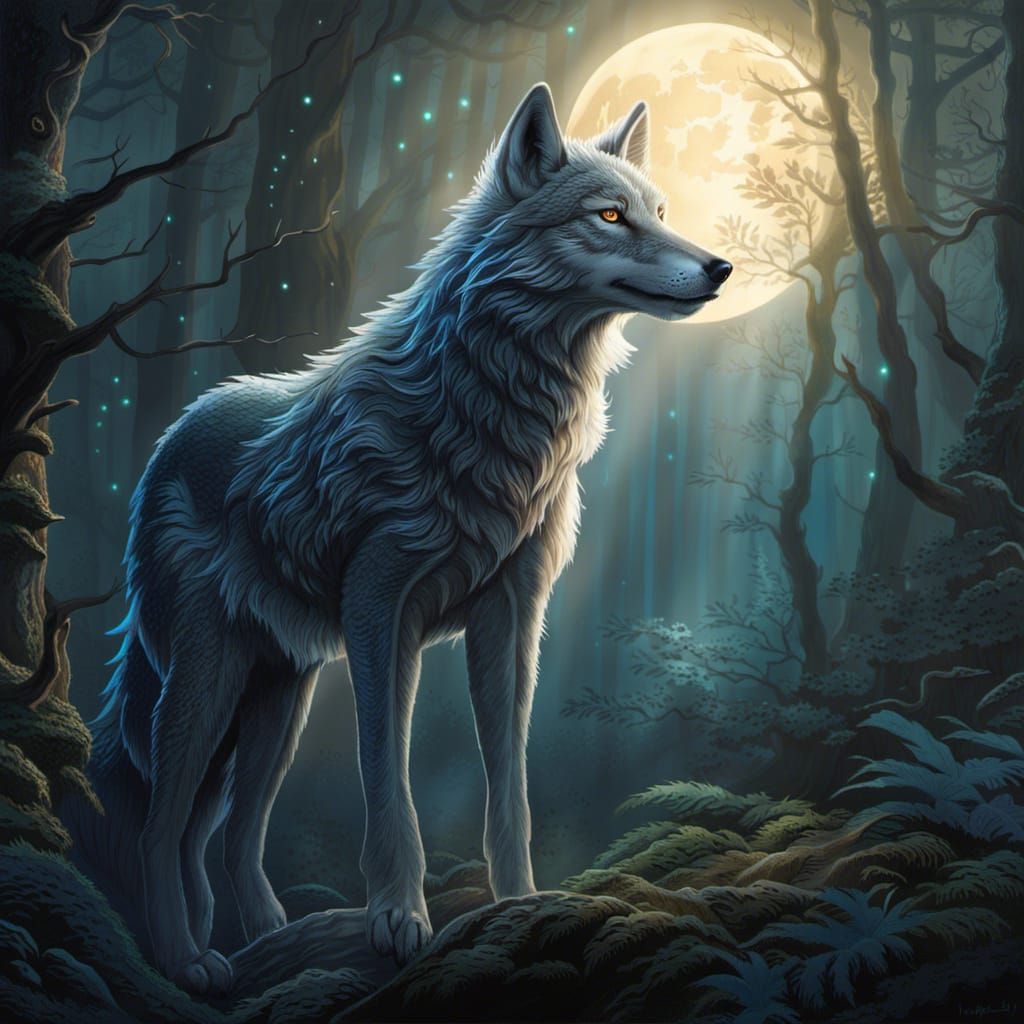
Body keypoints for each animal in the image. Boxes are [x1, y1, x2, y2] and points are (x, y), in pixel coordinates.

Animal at [85, 82, 731, 994]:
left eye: (662, 213)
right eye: (610, 216)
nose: (720, 268)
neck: (494, 413)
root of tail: (171, 438)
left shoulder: (512, 619)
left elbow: (510, 791)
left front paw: (522, 904)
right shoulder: (380, 614)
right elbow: (387, 781)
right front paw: (398, 919)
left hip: (278, 703)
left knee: (231, 834)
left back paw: (261, 937)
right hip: (206, 686)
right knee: (161, 824)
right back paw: (187, 959)